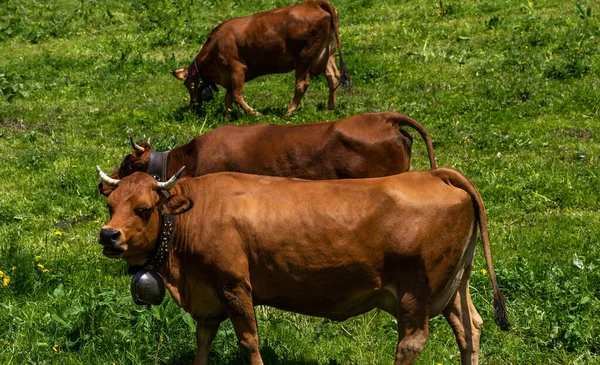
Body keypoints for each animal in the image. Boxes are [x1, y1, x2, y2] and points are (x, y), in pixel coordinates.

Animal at [96, 166, 508, 364]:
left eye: (144, 209)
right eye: (110, 204)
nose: (108, 235)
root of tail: (433, 174)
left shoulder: (234, 285)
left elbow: (249, 341)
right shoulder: (208, 294)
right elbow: (203, 342)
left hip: (416, 292)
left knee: (411, 343)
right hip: (455, 285)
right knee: (470, 328)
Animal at [171, 0, 352, 114]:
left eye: (188, 84)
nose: (193, 104)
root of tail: (314, 3)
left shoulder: (237, 68)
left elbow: (236, 95)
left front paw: (254, 113)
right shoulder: (229, 75)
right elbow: (228, 98)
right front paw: (226, 117)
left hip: (304, 56)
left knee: (302, 84)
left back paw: (288, 112)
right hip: (327, 52)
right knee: (332, 76)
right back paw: (330, 107)